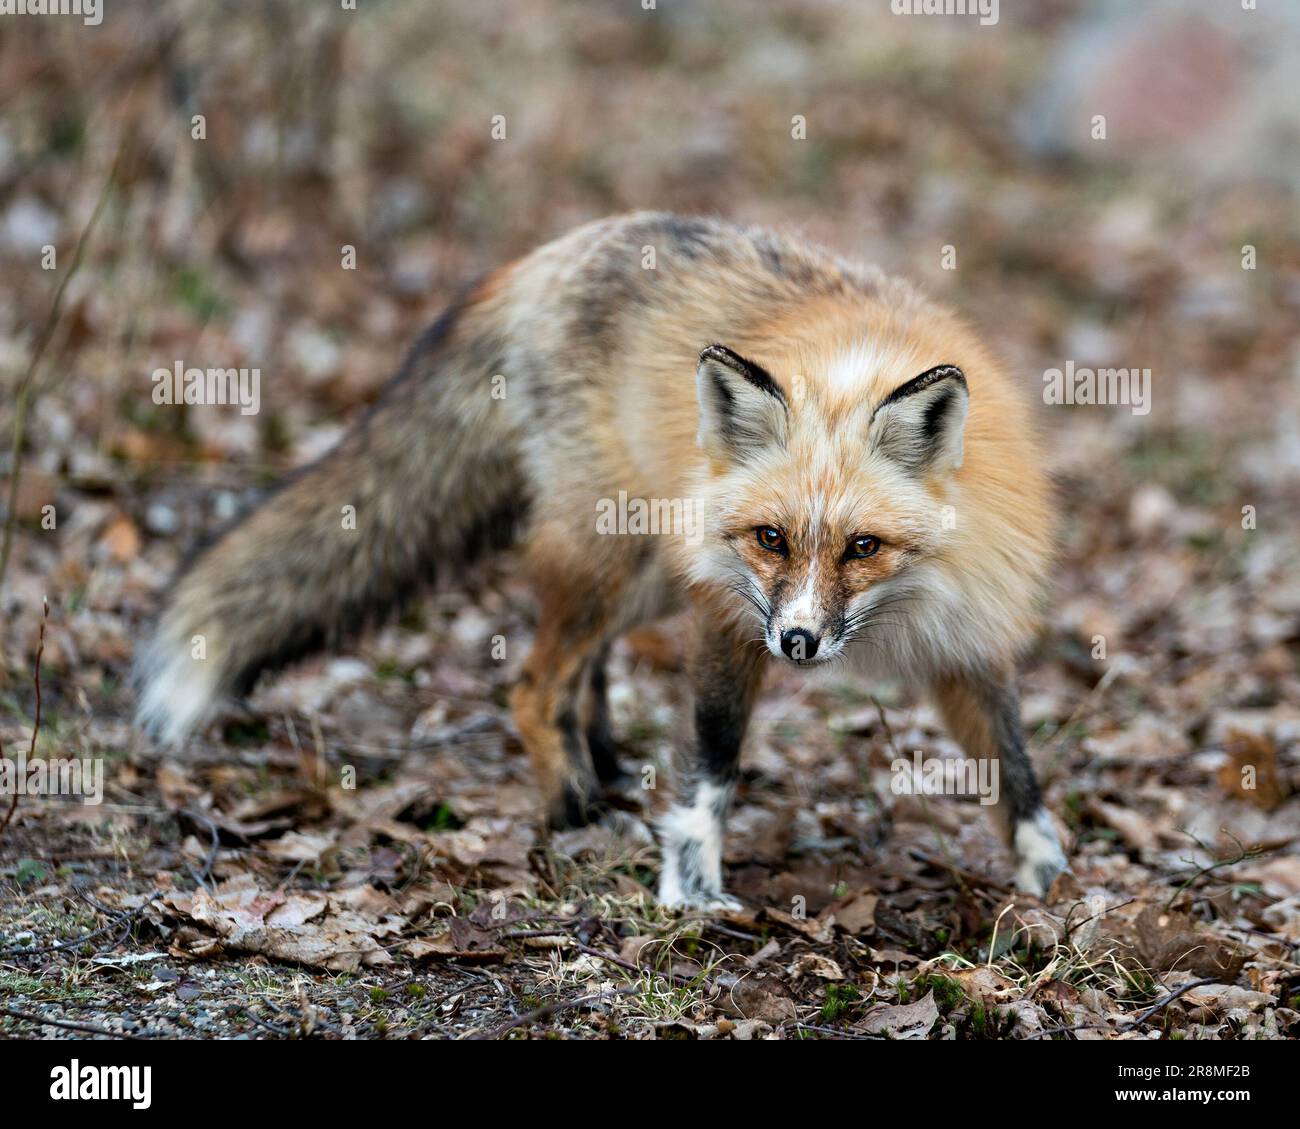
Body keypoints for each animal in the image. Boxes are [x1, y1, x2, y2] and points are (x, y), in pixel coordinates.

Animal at [134, 212, 1066, 910]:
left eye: (862, 547)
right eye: (772, 538)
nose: (798, 642)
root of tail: (546, 254)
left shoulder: (968, 635)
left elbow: (1016, 768)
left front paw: (1050, 883)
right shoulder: (730, 610)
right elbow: (713, 760)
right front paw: (691, 884)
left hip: (649, 566)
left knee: (584, 668)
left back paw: (606, 765)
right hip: (612, 553)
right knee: (533, 685)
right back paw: (575, 810)